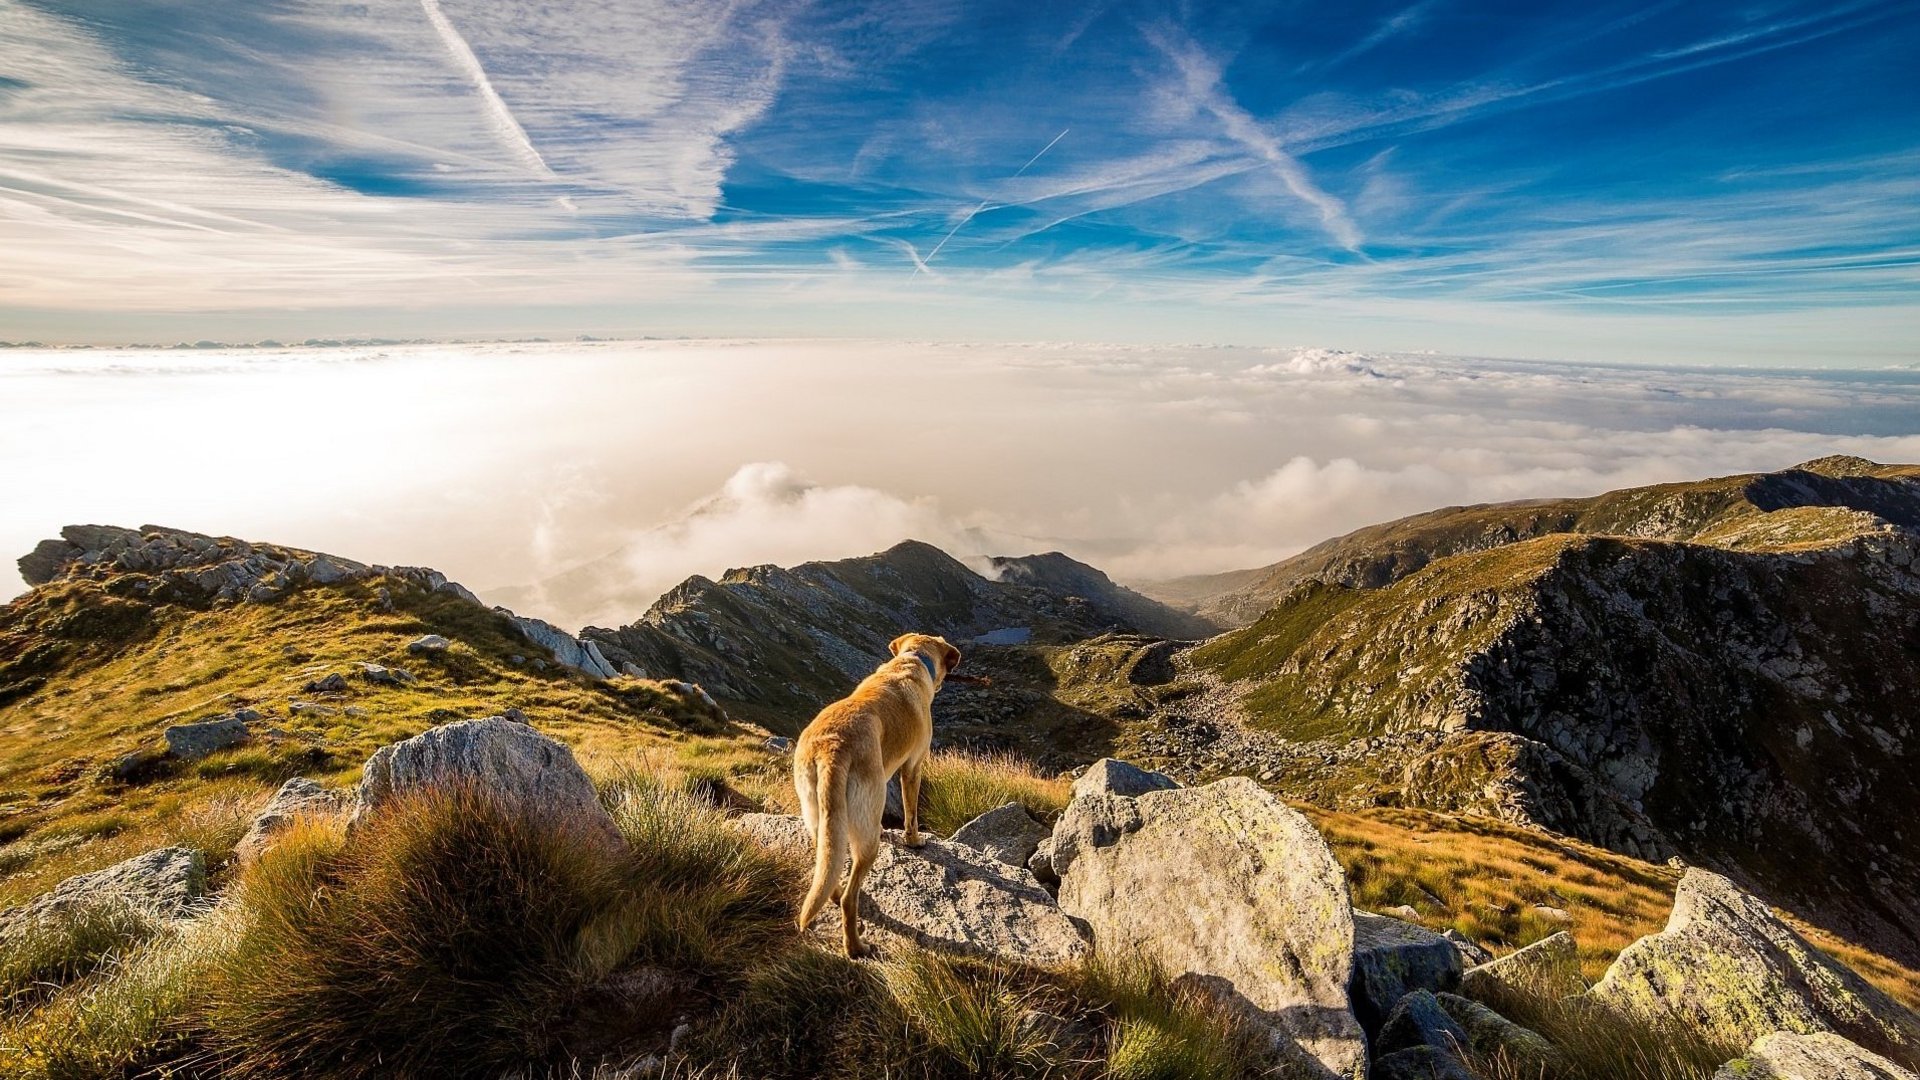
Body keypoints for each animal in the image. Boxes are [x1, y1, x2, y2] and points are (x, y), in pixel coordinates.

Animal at [791, 626, 960, 953]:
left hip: (819, 816)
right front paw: (914, 841)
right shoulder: (913, 767)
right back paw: (856, 947)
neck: (910, 661)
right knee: (849, 897)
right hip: (867, 833)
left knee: (828, 870)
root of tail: (832, 749)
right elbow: (911, 811)